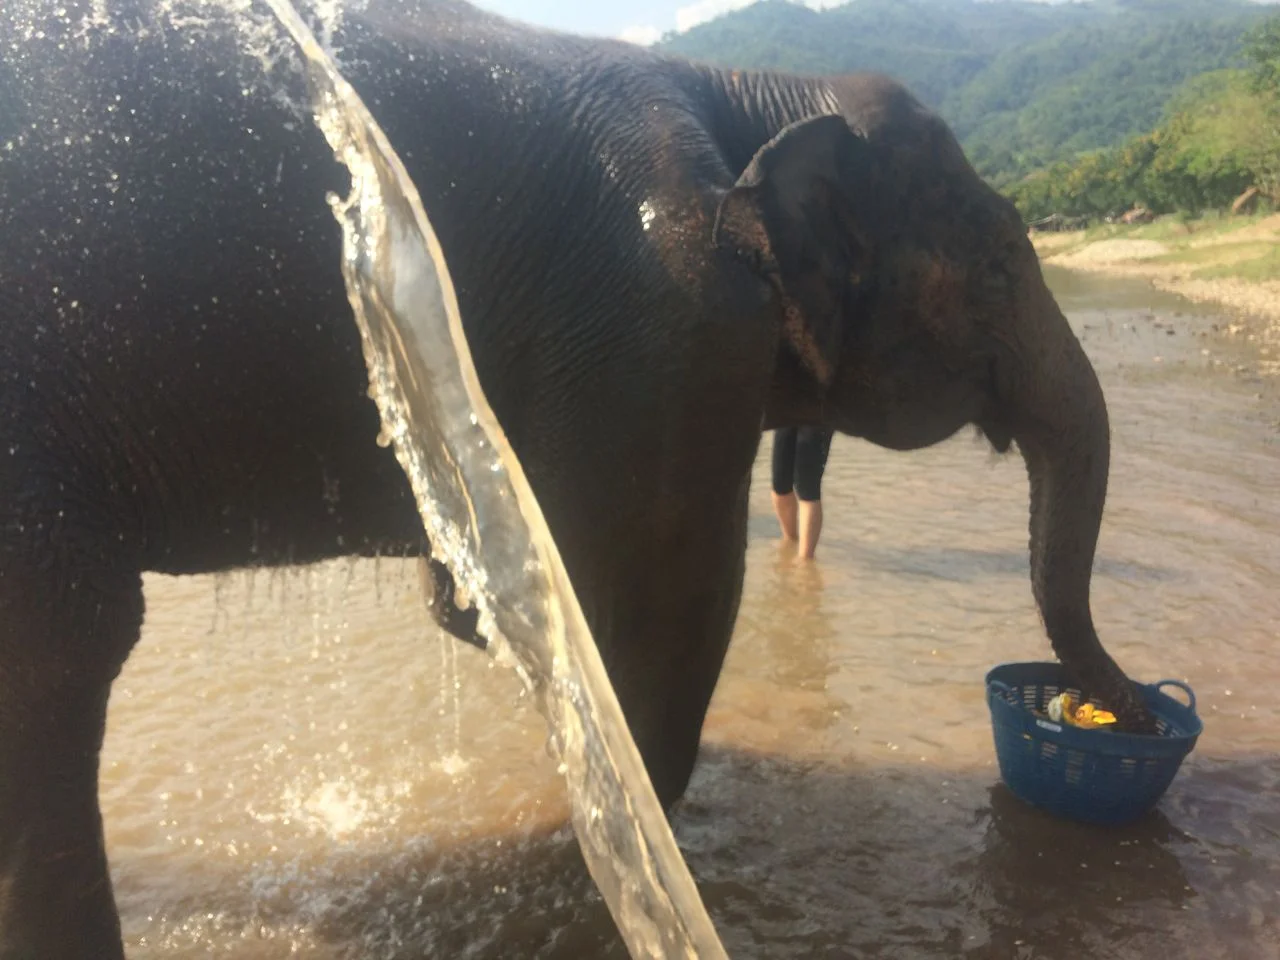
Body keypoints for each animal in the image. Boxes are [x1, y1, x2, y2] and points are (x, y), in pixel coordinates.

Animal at [0, 0, 1154, 955]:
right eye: (999, 269)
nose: (1140, 712)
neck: (746, 90)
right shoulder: (668, 322)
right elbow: (648, 621)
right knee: (66, 639)